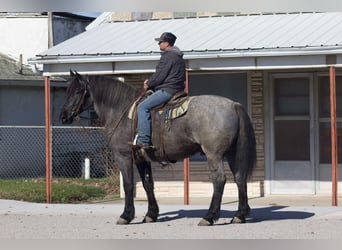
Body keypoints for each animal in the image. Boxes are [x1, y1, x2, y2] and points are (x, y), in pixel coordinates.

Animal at [60, 71, 255, 227]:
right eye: (67, 91)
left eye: (77, 91)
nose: (63, 116)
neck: (120, 110)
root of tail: (234, 105)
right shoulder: (141, 158)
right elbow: (148, 184)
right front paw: (150, 215)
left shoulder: (123, 156)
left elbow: (129, 184)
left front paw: (126, 216)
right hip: (232, 154)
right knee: (240, 178)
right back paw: (239, 215)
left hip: (214, 154)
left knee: (219, 180)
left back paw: (208, 217)